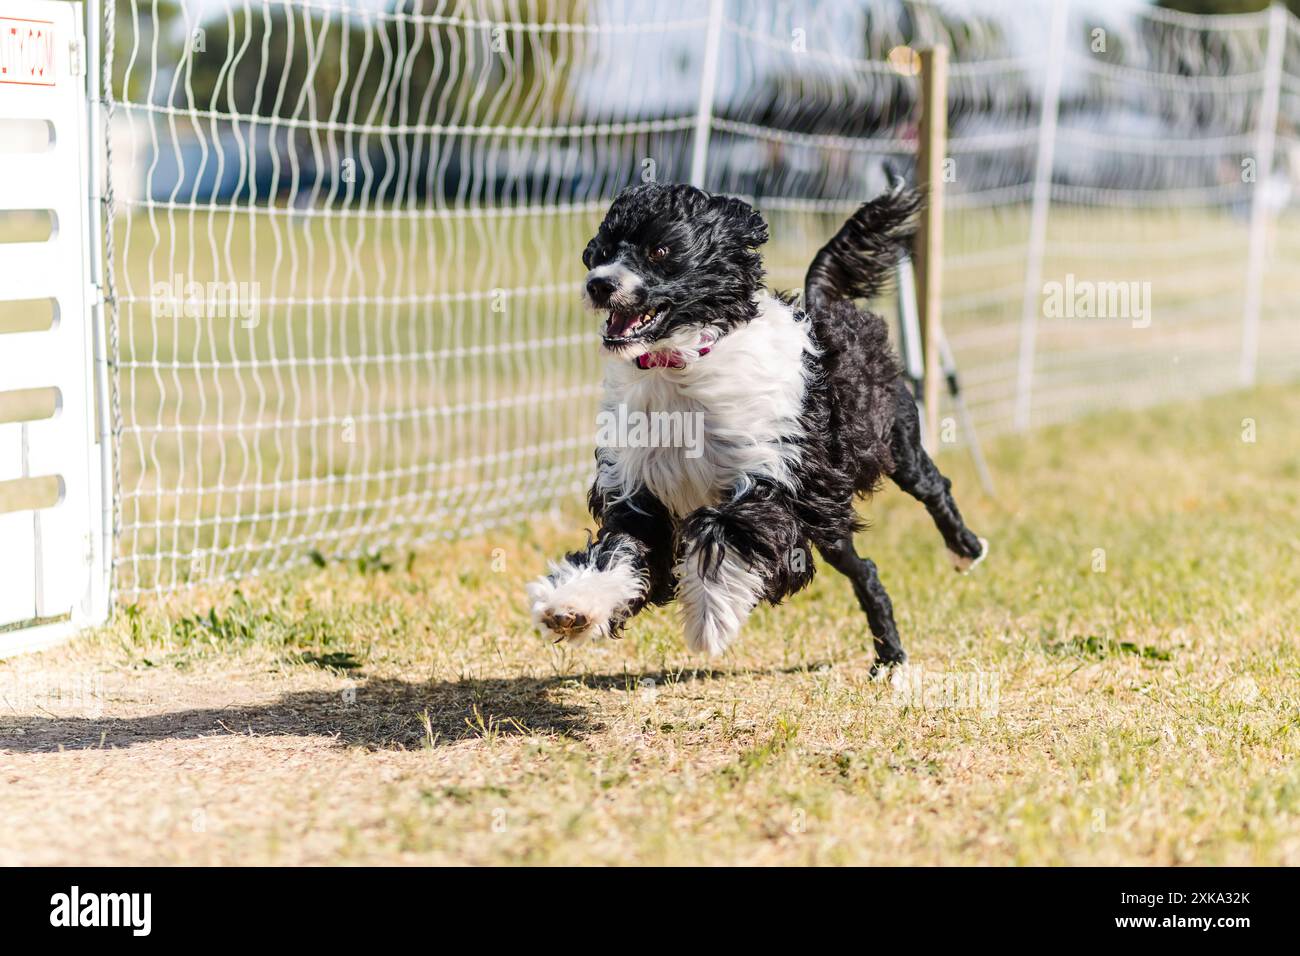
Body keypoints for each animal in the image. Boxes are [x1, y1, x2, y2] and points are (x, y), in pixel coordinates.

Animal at [525, 180, 982, 671]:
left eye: (660, 250)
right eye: (603, 250)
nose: (599, 284)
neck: (681, 366)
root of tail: (824, 304)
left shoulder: (774, 479)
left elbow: (721, 529)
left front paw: (709, 617)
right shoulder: (639, 489)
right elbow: (621, 549)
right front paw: (573, 605)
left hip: (893, 444)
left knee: (934, 487)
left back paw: (965, 551)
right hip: (829, 522)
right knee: (866, 570)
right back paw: (890, 656)